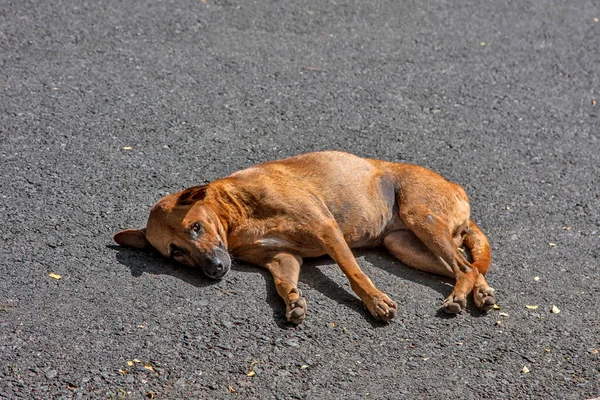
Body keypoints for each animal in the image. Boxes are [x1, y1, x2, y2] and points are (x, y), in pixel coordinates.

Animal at [115, 151, 494, 324]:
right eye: (175, 253)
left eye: (196, 227)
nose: (215, 269)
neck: (236, 215)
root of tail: (456, 188)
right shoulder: (282, 258)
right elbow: (283, 283)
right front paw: (292, 300)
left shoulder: (326, 229)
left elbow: (355, 273)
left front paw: (374, 301)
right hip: (402, 246)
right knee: (469, 267)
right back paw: (478, 293)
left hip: (421, 219)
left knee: (464, 267)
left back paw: (458, 298)